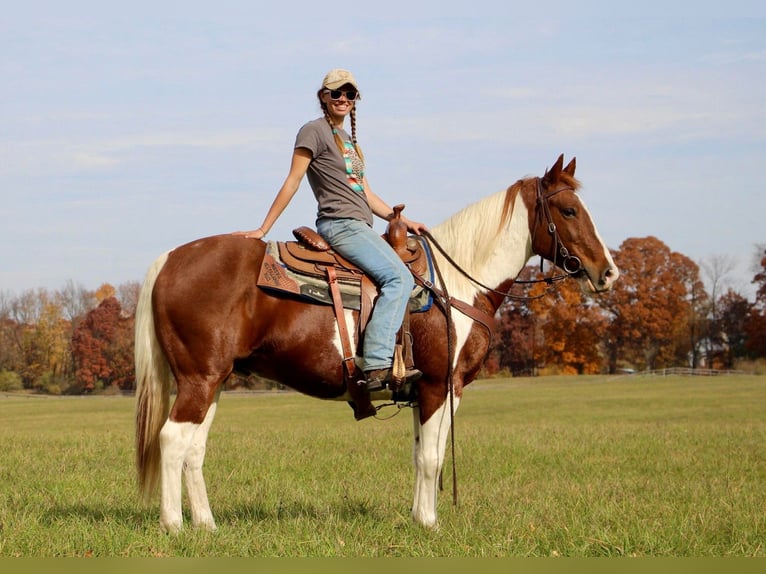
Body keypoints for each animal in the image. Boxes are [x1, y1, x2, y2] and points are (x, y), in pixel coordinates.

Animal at [135, 155, 620, 532]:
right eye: (569, 210)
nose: (608, 272)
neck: (458, 282)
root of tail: (169, 259)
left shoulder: (423, 391)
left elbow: (422, 454)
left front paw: (418, 518)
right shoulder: (440, 387)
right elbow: (432, 458)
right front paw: (430, 524)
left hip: (214, 381)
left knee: (193, 449)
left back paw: (207, 525)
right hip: (199, 380)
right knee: (172, 440)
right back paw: (174, 526)